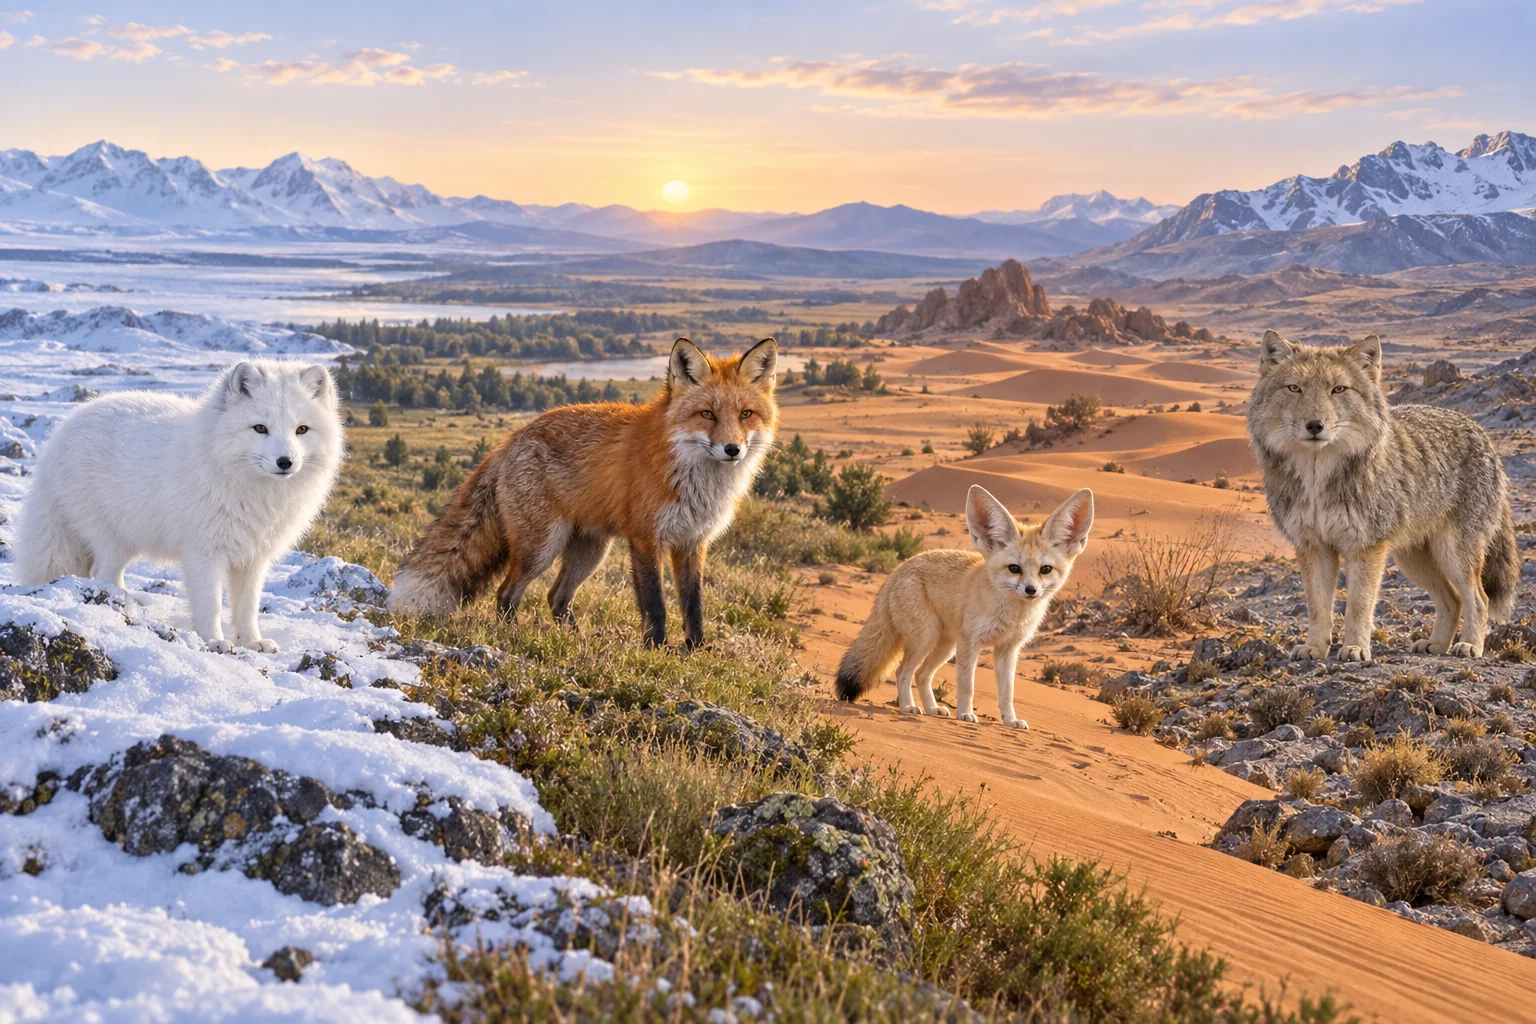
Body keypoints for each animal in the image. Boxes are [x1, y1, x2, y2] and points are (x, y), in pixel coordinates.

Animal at [15, 359, 344, 652]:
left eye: (302, 430)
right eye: (260, 428)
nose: (285, 462)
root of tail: (60, 433)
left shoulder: (252, 558)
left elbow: (247, 607)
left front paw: (252, 641)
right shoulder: (203, 551)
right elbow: (211, 604)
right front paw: (214, 641)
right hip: (112, 537)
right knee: (103, 574)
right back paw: (124, 604)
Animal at [388, 337, 778, 648]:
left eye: (746, 414)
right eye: (707, 414)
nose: (732, 449)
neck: (693, 478)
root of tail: (511, 439)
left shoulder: (693, 543)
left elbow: (693, 605)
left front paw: (696, 650)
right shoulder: (646, 539)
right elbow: (655, 604)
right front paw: (655, 649)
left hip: (590, 551)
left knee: (556, 597)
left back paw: (575, 640)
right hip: (541, 548)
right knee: (507, 593)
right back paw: (513, 634)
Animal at [835, 485, 1093, 728]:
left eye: (1045, 569)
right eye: (1014, 568)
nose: (1031, 590)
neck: (1012, 615)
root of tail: (898, 569)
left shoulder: (1007, 650)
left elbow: (1007, 693)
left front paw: (1010, 721)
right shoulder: (971, 642)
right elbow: (967, 685)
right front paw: (966, 714)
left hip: (946, 646)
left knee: (921, 675)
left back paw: (932, 708)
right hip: (926, 640)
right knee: (902, 672)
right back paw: (908, 707)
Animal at [1249, 330, 1518, 662]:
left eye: (1338, 389)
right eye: (1294, 388)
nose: (1315, 425)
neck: (1317, 479)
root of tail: (1481, 432)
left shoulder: (1365, 547)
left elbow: (1358, 606)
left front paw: (1355, 648)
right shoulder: (1314, 547)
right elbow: (1318, 608)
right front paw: (1315, 647)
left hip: (1453, 556)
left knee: (1478, 598)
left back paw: (1470, 646)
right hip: (1413, 561)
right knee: (1452, 600)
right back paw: (1436, 645)